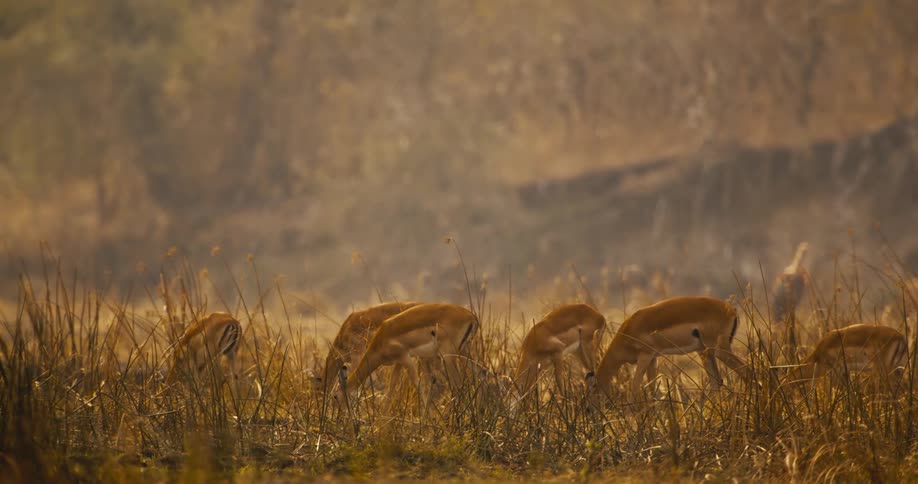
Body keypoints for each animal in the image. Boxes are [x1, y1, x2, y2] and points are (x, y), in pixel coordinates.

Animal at [339, 303, 478, 401]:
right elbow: (391, 389)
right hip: (464, 352)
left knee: (458, 385)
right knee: (480, 374)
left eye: (335, 397)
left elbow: (418, 386)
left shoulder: (405, 358)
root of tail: (472, 317)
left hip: (449, 357)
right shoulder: (398, 363)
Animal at [591, 296, 750, 401]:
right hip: (705, 352)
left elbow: (635, 388)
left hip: (719, 351)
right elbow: (653, 390)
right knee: (717, 382)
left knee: (747, 372)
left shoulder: (645, 355)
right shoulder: (653, 358)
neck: (629, 329)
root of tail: (732, 310)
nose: (588, 411)